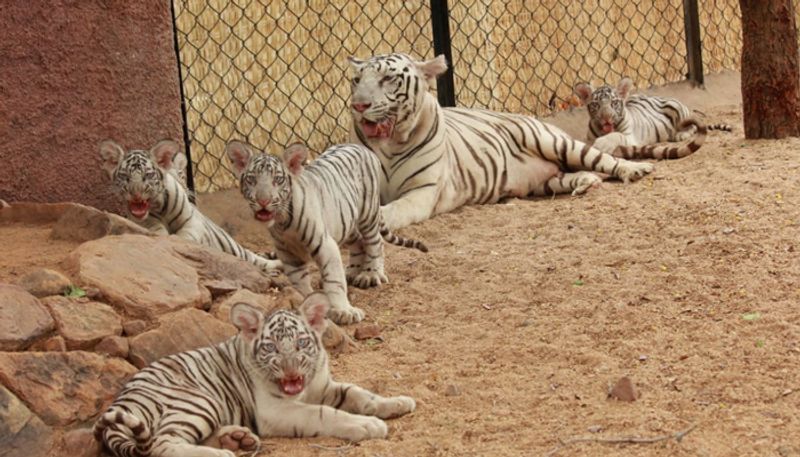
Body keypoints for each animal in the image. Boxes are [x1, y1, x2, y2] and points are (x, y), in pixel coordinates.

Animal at [94, 292, 416, 456]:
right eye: (271, 347)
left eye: (301, 343)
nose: (291, 373)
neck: (304, 389)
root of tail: (121, 401)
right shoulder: (276, 410)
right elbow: (325, 414)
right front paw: (367, 425)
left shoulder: (323, 385)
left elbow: (360, 394)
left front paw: (398, 402)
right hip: (198, 400)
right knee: (162, 443)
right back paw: (223, 453)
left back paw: (237, 439)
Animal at [99, 139, 282, 274]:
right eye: (124, 176)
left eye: (148, 175)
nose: (136, 194)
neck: (159, 207)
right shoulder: (145, 221)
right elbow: (156, 230)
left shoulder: (192, 220)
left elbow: (186, 235)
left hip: (235, 248)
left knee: (256, 259)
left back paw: (276, 266)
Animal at [222, 142, 428, 324]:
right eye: (252, 179)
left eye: (278, 180)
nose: (263, 201)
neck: (282, 221)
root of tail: (361, 146)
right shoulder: (288, 254)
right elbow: (300, 283)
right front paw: (307, 302)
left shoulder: (325, 244)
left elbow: (334, 280)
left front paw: (344, 311)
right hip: (344, 223)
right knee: (358, 243)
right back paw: (353, 271)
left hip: (367, 213)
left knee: (375, 242)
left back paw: (370, 274)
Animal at [346, 53, 652, 230]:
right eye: (356, 80)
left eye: (387, 78)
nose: (359, 105)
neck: (388, 145)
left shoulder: (422, 191)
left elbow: (394, 211)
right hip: (545, 181)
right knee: (579, 174)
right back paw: (587, 184)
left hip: (554, 142)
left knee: (604, 158)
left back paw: (636, 170)